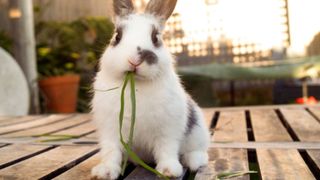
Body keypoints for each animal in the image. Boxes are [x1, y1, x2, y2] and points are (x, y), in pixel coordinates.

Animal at [90, 0, 210, 179]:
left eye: (155, 38)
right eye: (117, 36)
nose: (134, 60)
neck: (137, 86)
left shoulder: (168, 130)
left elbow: (166, 149)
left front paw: (169, 171)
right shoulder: (110, 131)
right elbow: (111, 152)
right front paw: (104, 171)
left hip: (198, 133)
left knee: (200, 153)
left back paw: (192, 160)